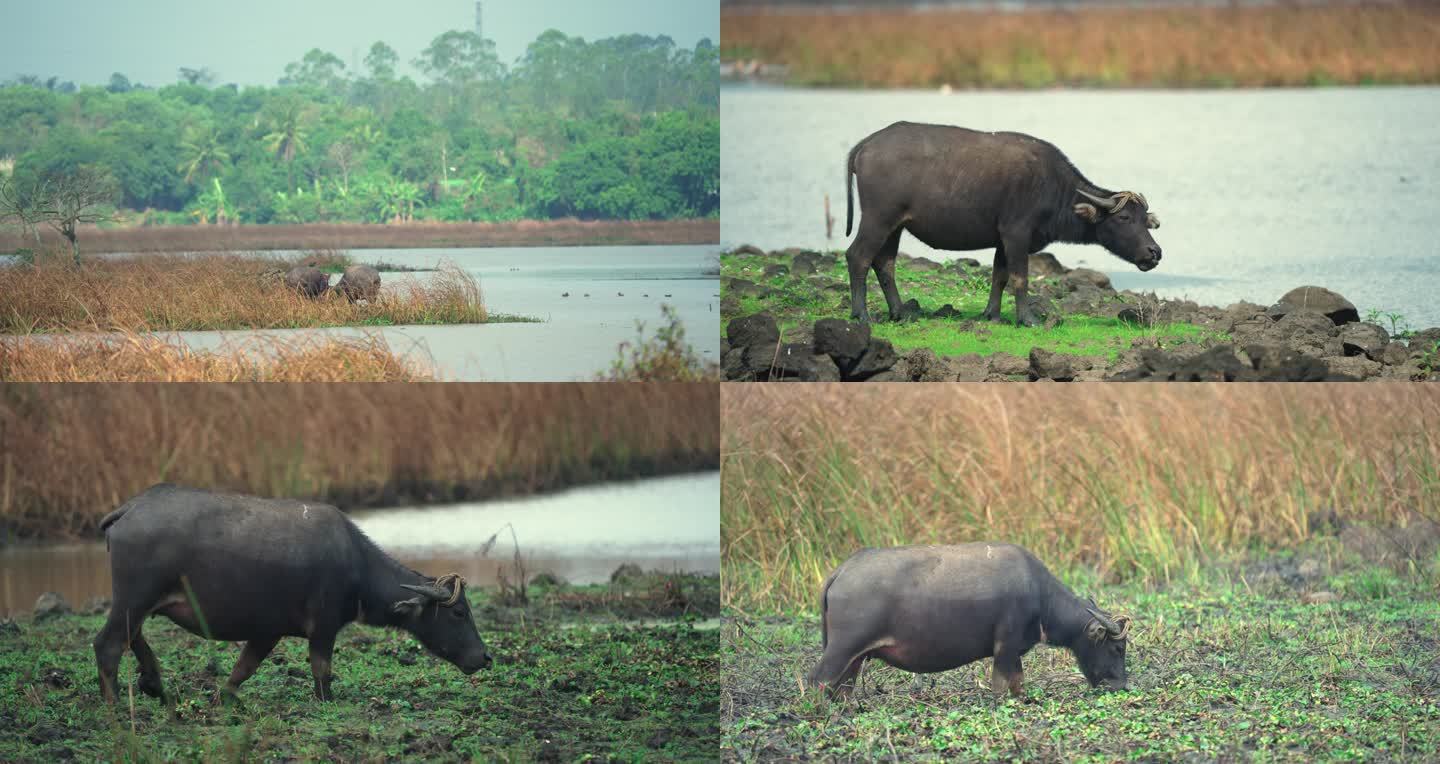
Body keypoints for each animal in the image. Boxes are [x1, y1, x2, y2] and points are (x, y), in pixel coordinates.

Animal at [94, 483, 495, 705]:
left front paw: (223, 698)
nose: (485, 657)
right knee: (109, 644)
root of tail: (131, 507)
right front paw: (325, 701)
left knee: (132, 637)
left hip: (140, 602)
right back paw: (116, 705)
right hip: (134, 597)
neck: (356, 565)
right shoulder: (324, 628)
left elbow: (243, 669)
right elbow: (321, 670)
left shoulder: (267, 632)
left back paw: (154, 684)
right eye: (459, 612)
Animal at [806, 543, 1128, 699]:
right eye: (1117, 648)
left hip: (855, 656)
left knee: (842, 686)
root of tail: (842, 571)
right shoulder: (1005, 647)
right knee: (817, 680)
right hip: (843, 648)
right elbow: (1005, 685)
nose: (1121, 686)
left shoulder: (1011, 652)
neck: (1041, 596)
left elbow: (1013, 684)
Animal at [840, 123, 1157, 328]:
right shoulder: (1017, 235)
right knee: (858, 256)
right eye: (1124, 218)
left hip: (895, 225)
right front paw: (1027, 319)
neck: (1054, 188)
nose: (1155, 252)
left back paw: (900, 313)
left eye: (1146, 220)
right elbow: (1020, 278)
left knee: (885, 263)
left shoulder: (1003, 241)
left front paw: (991, 315)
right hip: (877, 218)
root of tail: (866, 145)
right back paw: (861, 315)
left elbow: (999, 277)